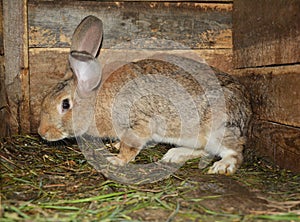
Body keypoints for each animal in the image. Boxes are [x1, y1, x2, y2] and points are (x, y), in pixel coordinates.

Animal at [38, 15, 252, 175]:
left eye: (65, 105)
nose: (42, 132)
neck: (96, 102)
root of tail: (248, 113)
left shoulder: (139, 123)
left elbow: (132, 146)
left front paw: (116, 160)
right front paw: (115, 146)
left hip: (217, 129)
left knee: (235, 151)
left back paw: (222, 166)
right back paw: (174, 155)